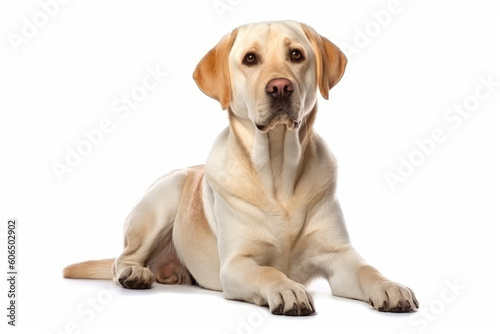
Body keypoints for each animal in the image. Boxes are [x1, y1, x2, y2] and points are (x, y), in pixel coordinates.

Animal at [64, 20, 420, 316]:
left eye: (296, 55)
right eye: (250, 59)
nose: (280, 87)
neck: (278, 172)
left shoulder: (339, 256)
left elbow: (367, 269)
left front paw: (390, 286)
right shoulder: (236, 265)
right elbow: (268, 270)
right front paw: (287, 289)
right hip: (163, 198)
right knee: (121, 261)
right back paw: (136, 273)